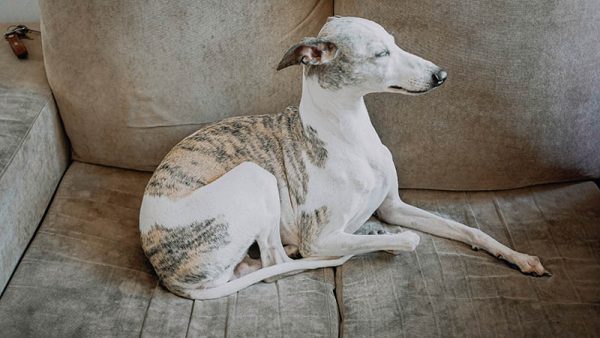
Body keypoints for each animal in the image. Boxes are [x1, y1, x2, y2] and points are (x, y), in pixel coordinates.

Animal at [139, 17, 548, 300]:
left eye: (395, 43)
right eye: (381, 54)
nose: (441, 75)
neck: (351, 136)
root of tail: (168, 274)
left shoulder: (394, 207)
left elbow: (468, 229)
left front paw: (520, 257)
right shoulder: (320, 239)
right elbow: (403, 239)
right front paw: (388, 239)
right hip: (256, 176)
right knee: (278, 265)